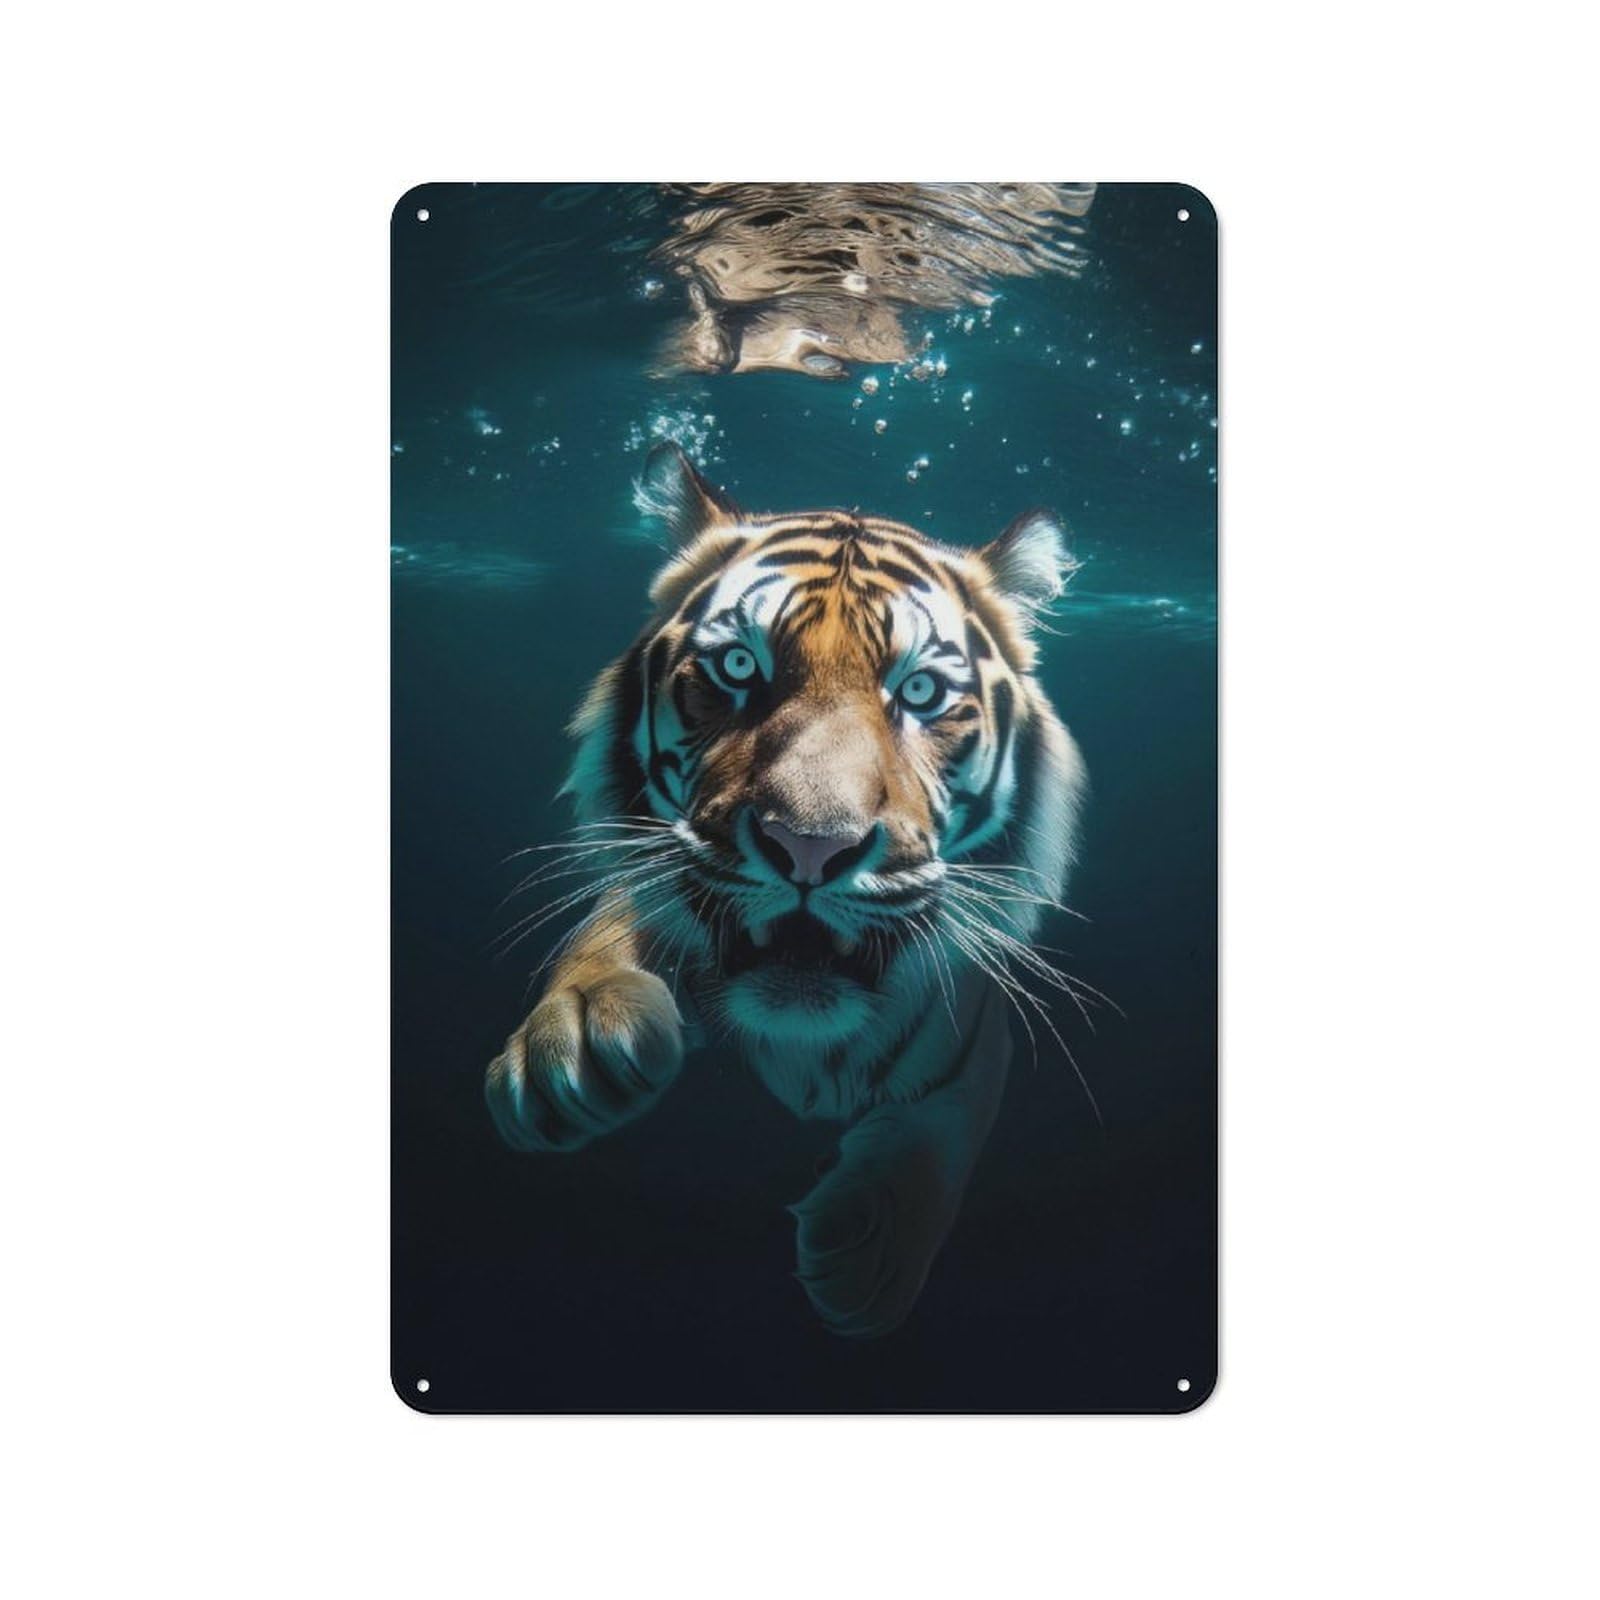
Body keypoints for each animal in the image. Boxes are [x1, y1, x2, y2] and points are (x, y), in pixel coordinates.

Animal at [485, 442, 1088, 1337]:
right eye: (739, 668)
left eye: (919, 692)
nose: (811, 845)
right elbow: (606, 935)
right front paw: (572, 1045)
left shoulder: (974, 1031)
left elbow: (948, 1123)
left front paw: (869, 1246)